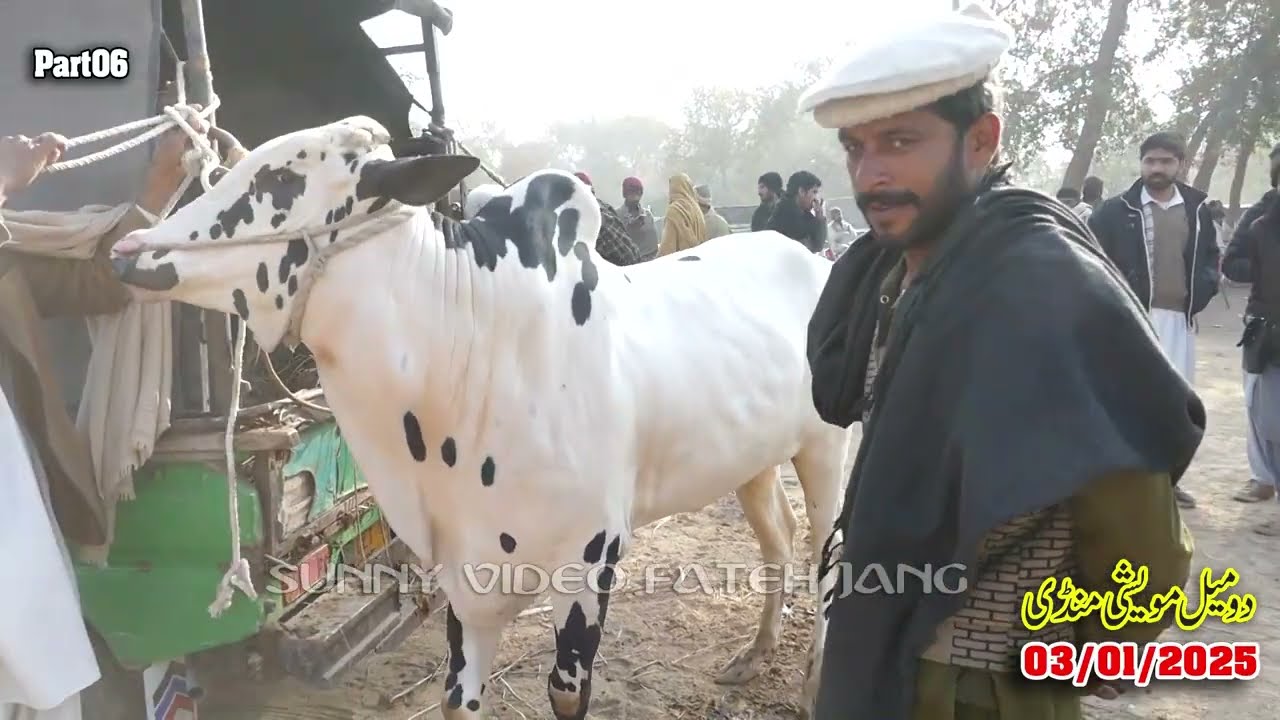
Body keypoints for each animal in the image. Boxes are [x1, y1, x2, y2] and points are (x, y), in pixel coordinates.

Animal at [110, 116, 851, 719]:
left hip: (827, 448)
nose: (130, 247)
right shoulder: (463, 572)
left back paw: (814, 681)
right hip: (751, 459)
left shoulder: (591, 557)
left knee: (824, 553)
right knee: (778, 538)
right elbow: (458, 698)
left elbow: (565, 692)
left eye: (283, 176)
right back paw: (756, 651)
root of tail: (808, 258)